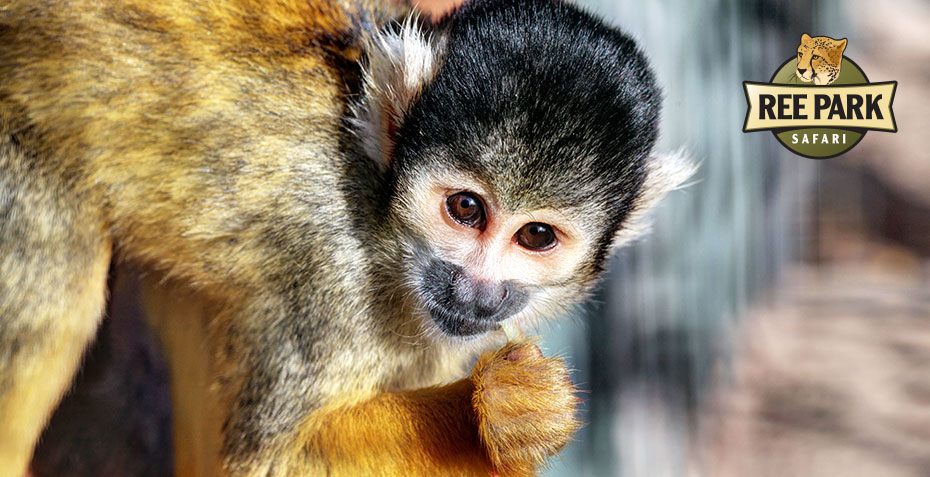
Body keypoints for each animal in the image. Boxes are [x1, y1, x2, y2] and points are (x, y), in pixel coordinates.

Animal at [0, 0, 688, 472]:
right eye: (466, 208)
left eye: (536, 235)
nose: (474, 290)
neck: (379, 218)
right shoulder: (326, 266)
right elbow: (274, 461)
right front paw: (498, 409)